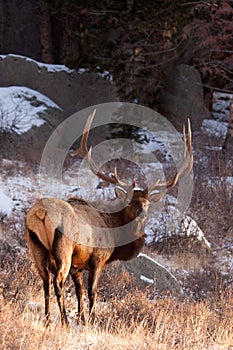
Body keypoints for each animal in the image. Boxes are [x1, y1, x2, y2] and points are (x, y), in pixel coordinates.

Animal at [25, 111, 193, 326]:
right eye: (129, 202)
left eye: (147, 203)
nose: (142, 212)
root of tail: (40, 213)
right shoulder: (98, 257)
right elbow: (92, 291)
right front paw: (91, 320)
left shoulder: (78, 266)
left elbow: (79, 292)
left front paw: (82, 319)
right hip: (63, 248)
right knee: (57, 282)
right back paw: (63, 321)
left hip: (36, 246)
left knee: (45, 281)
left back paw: (47, 320)